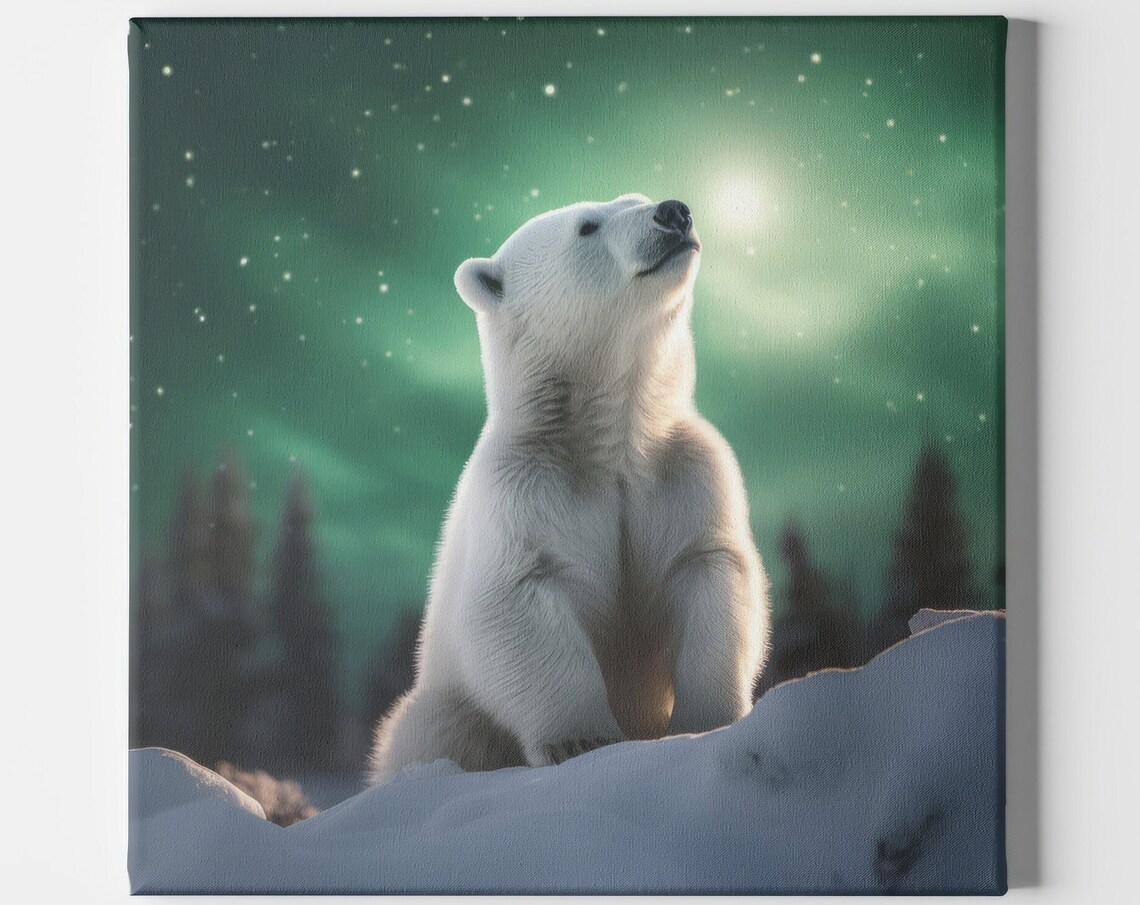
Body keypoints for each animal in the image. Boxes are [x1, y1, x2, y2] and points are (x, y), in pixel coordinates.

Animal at [367, 194, 770, 783]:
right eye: (588, 226)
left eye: (637, 198)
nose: (673, 212)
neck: (610, 438)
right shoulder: (524, 486)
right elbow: (517, 594)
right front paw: (581, 741)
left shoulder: (686, 469)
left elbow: (709, 567)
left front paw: (707, 720)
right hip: (446, 706)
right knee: (435, 733)